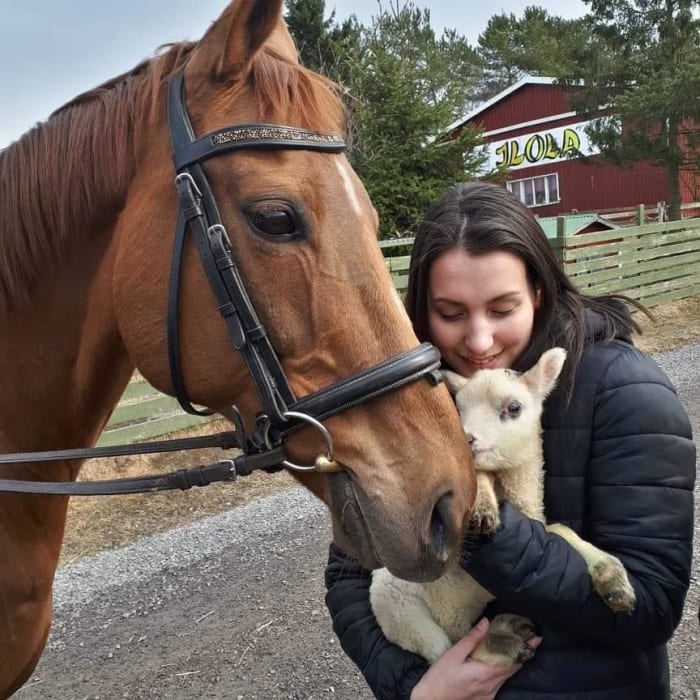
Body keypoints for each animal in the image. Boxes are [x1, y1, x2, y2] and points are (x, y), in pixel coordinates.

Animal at [370, 350, 636, 668]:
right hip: (401, 607)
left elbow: (561, 530)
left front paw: (615, 584)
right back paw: (507, 646)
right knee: (451, 646)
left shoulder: (537, 527)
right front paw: (484, 508)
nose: (466, 439)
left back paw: (508, 625)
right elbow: (477, 478)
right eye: (459, 408)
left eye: (514, 408)